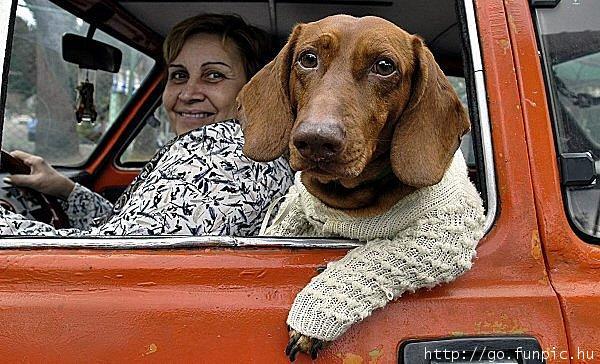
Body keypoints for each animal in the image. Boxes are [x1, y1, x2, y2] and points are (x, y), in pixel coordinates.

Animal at [237, 14, 486, 362]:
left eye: (384, 66)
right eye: (308, 58)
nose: (316, 140)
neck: (344, 199)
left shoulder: (445, 237)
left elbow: (372, 257)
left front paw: (317, 309)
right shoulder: (300, 207)